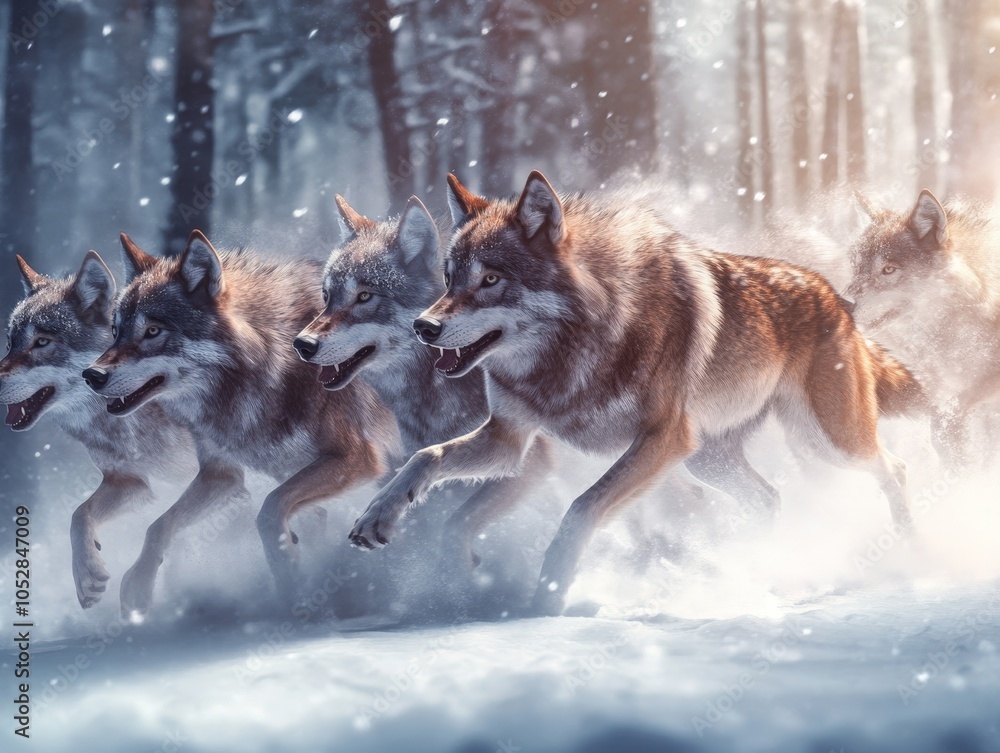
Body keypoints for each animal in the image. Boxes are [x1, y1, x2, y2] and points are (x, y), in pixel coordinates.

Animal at [84, 232, 400, 615]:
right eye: (116, 332)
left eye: (153, 330)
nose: (92, 375)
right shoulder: (222, 476)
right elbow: (158, 526)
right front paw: (138, 587)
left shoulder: (358, 458)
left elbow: (269, 510)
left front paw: (290, 577)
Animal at [348, 170, 921, 616]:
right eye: (448, 278)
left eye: (490, 280)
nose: (424, 327)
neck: (573, 352)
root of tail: (839, 297)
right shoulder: (510, 440)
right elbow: (426, 457)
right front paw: (378, 519)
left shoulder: (660, 440)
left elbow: (581, 507)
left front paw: (549, 595)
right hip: (710, 459)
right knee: (769, 499)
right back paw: (757, 566)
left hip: (825, 441)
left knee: (894, 468)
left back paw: (909, 547)